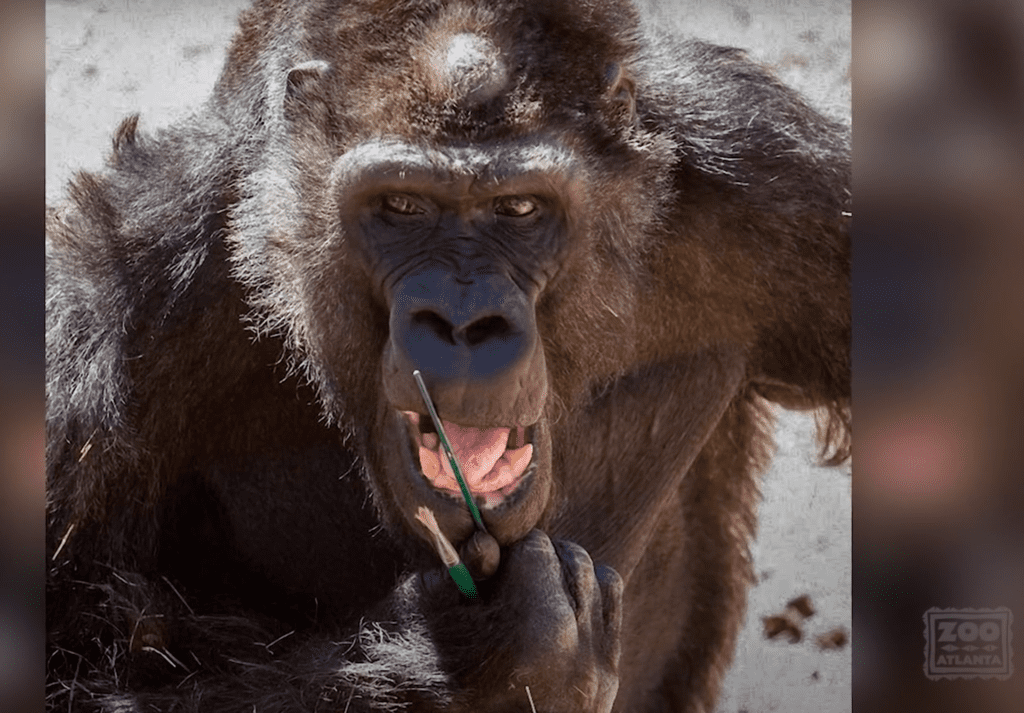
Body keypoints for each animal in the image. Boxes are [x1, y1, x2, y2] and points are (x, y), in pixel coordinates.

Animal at [46, 1, 847, 713]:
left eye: (519, 208)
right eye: (401, 206)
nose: (464, 321)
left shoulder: (779, 183)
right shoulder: (111, 297)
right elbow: (71, 669)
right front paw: (484, 658)